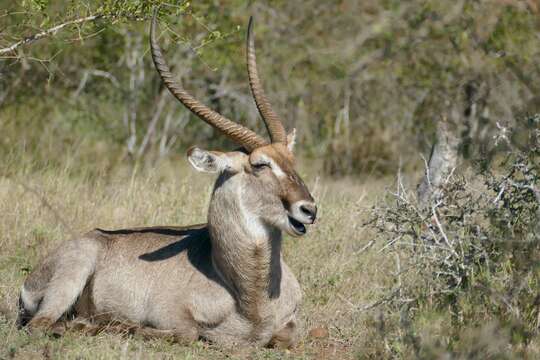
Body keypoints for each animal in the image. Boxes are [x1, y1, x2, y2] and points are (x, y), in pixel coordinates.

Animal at [17, 11, 316, 348]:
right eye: (260, 164)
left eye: (291, 159)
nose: (309, 209)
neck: (250, 298)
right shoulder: (173, 317)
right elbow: (188, 333)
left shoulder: (290, 324)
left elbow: (289, 336)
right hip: (71, 277)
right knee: (40, 325)